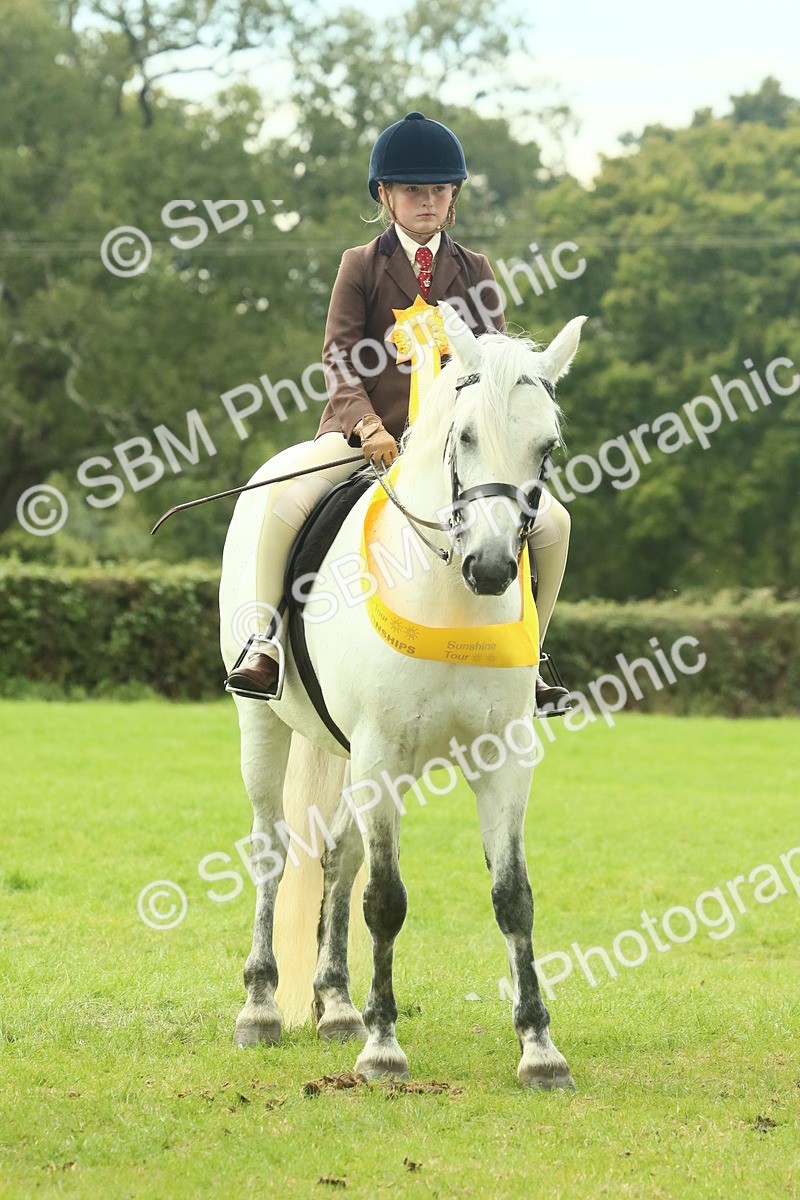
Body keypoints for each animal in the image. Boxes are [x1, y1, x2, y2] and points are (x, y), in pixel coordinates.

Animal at [218, 303, 585, 1089]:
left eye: (547, 445)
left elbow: (513, 897)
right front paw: (384, 1049)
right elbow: (385, 900)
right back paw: (262, 1008)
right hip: (266, 728)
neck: (449, 593)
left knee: (337, 857)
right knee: (271, 849)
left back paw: (336, 1006)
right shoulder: (381, 754)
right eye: (465, 433)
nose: (490, 567)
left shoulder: (503, 760)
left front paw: (540, 1050)